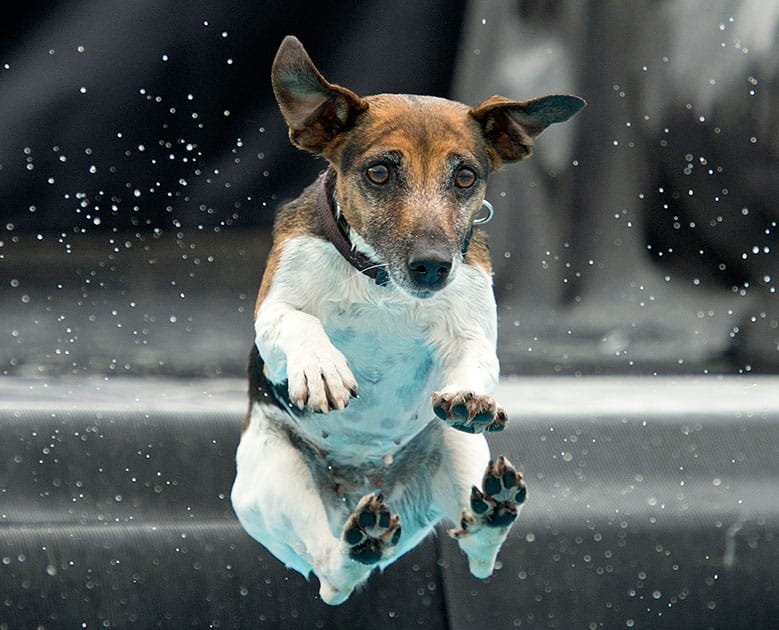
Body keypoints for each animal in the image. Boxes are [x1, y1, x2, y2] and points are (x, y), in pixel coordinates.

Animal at [232, 35, 584, 608]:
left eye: (465, 176)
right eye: (379, 172)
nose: (433, 266)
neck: (382, 284)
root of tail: (363, 490)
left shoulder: (472, 328)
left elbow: (477, 358)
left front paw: (471, 394)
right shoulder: (274, 308)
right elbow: (297, 324)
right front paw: (322, 367)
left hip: (460, 451)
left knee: (477, 551)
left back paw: (492, 512)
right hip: (271, 482)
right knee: (332, 574)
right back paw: (360, 545)